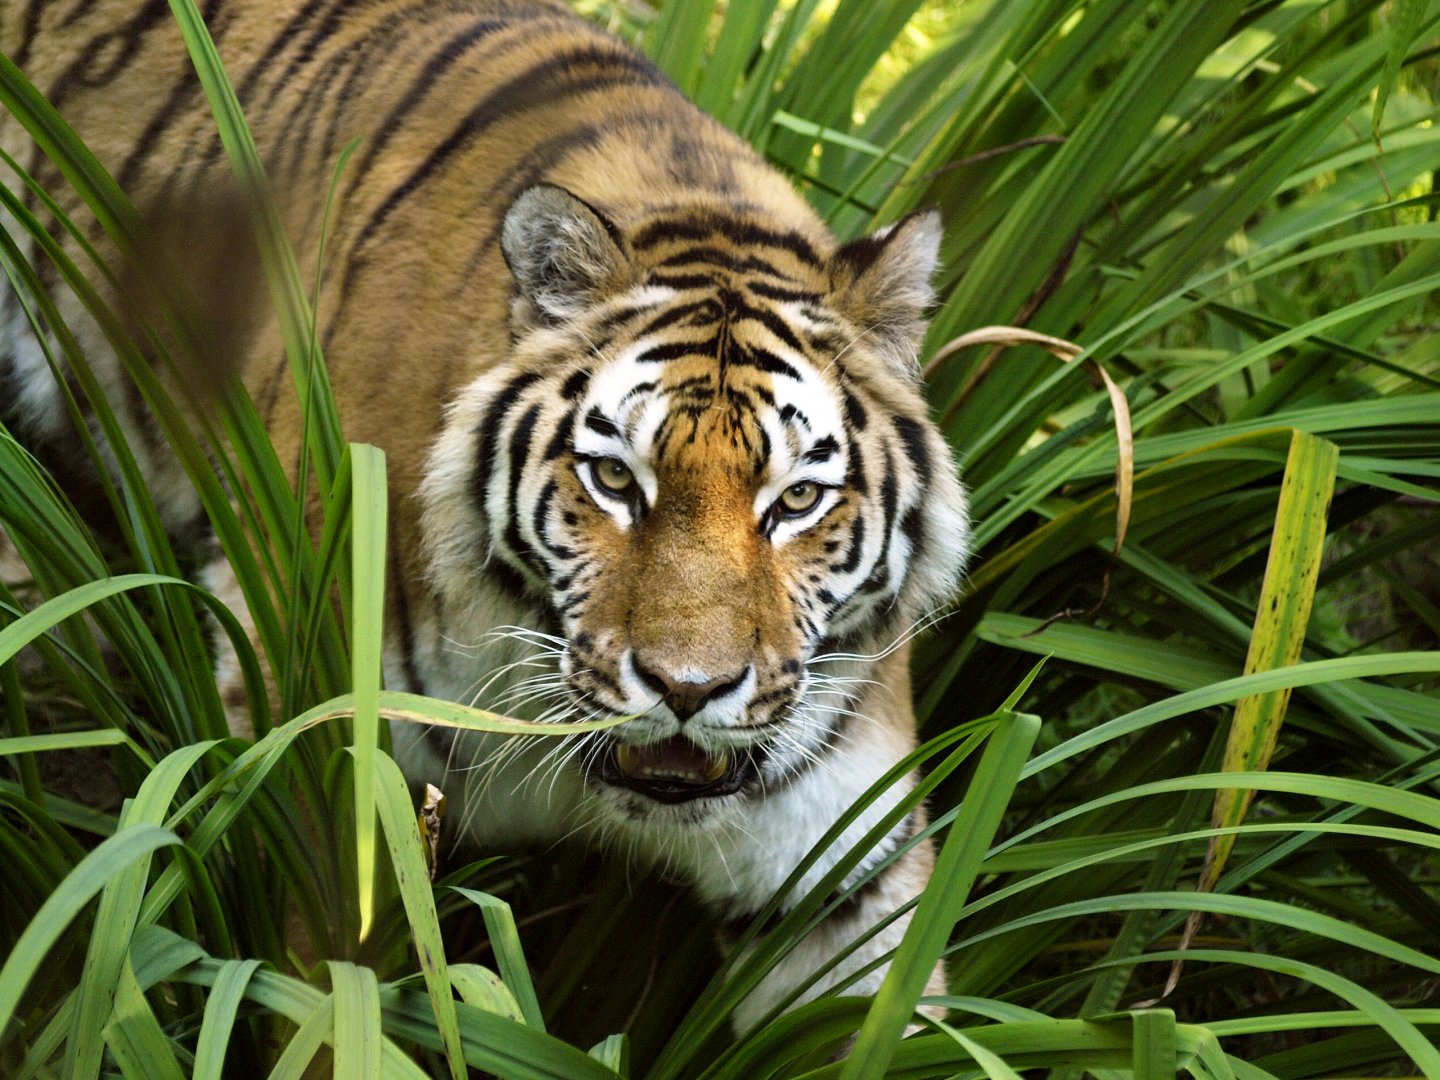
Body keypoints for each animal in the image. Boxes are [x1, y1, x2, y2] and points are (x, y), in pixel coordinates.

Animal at [0, 0, 969, 1032]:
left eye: (796, 499)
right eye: (616, 479)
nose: (688, 690)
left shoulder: (840, 876)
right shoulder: (321, 765)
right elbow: (325, 1005)